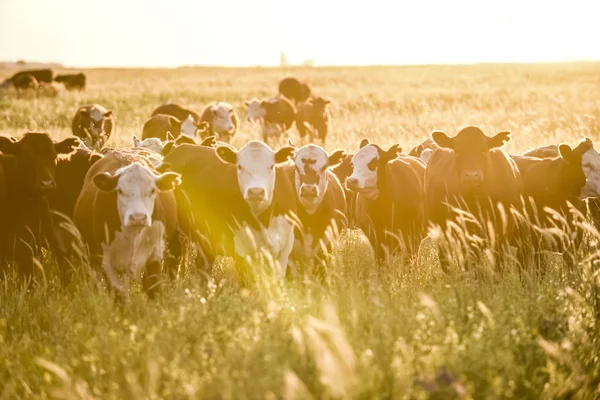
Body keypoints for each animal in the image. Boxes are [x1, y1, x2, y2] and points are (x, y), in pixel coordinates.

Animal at [73, 152, 180, 298]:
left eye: (152, 190)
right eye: (120, 191)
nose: (138, 217)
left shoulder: (155, 255)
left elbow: (153, 288)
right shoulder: (106, 262)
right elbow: (119, 294)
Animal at [163, 141, 296, 284]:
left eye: (271, 166)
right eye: (240, 166)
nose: (256, 191)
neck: (262, 219)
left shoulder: (285, 249)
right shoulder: (240, 250)